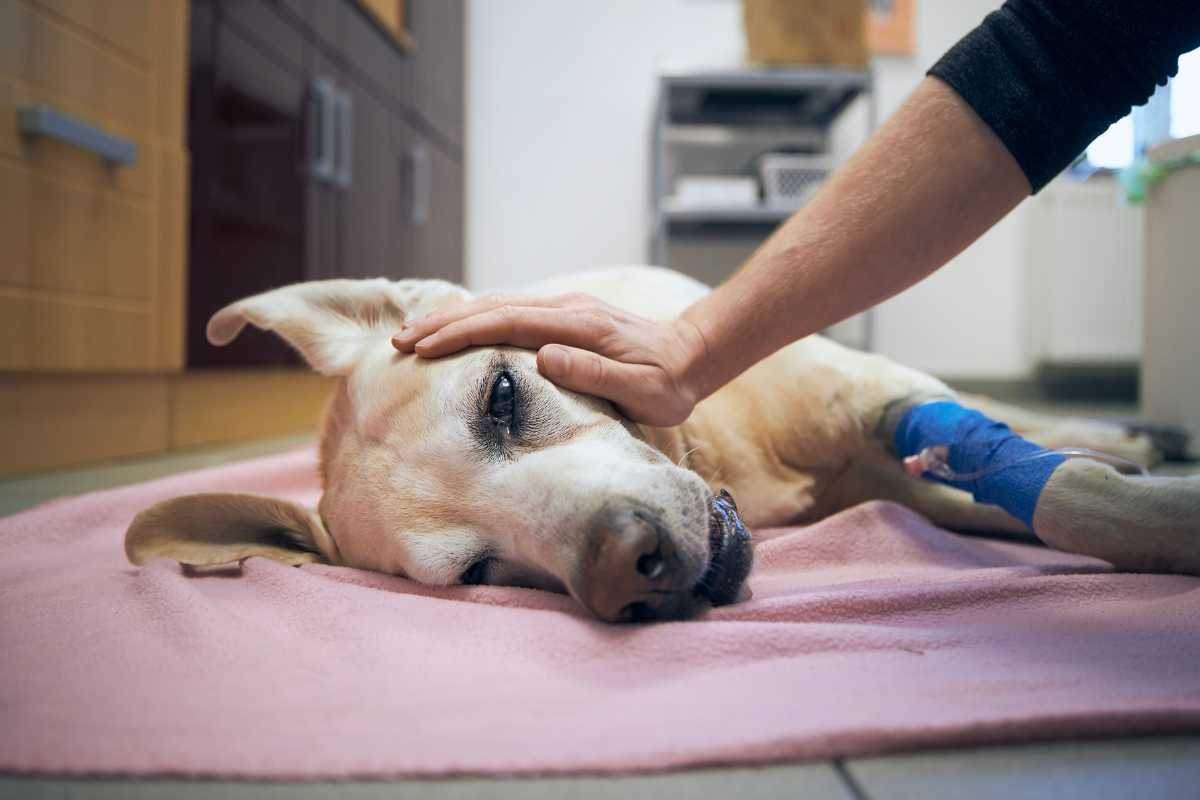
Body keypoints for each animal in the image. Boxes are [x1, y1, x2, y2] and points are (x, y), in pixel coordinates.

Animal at [126, 266, 1195, 623]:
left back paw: (1128, 429)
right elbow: (1039, 498)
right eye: (479, 572)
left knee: (1011, 419)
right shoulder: (902, 477)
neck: (719, 456)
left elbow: (1071, 495)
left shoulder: (877, 397)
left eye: (502, 397)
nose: (624, 568)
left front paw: (1157, 504)